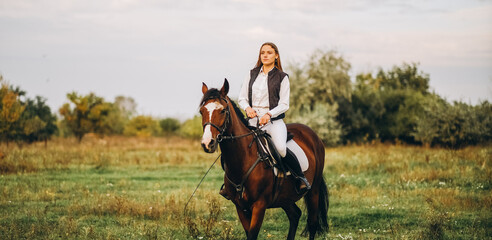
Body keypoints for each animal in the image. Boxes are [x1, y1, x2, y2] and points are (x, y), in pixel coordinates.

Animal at [198, 79, 328, 239]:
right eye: (201, 111)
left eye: (222, 110)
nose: (207, 143)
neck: (244, 159)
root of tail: (312, 135)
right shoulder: (240, 207)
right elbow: (249, 233)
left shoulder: (259, 206)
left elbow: (253, 234)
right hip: (285, 197)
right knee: (295, 215)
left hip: (313, 191)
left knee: (312, 222)